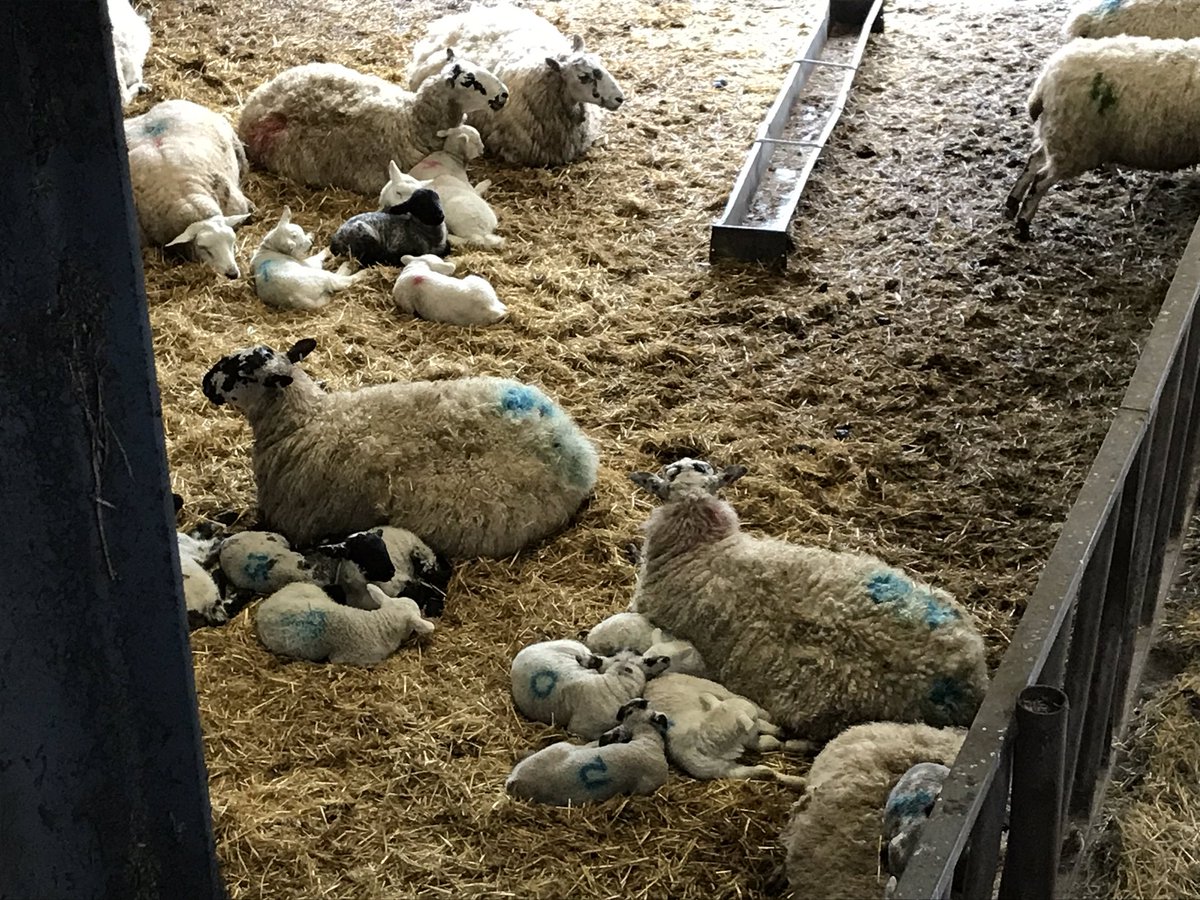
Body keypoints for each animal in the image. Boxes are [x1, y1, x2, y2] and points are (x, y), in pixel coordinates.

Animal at [1005, 36, 1200, 238]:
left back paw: (1012, 203)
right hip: (1074, 142)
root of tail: (1045, 82)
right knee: (1041, 180)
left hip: (1057, 134)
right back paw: (1023, 223)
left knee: (1034, 161)